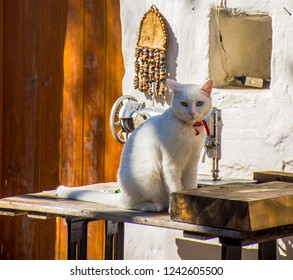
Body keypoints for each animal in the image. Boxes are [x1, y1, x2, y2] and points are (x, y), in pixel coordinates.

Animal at [56, 77, 212, 211]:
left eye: (199, 103)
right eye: (184, 104)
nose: (192, 113)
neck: (190, 130)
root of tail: (122, 194)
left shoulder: (191, 164)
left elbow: (189, 186)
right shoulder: (171, 165)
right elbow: (174, 188)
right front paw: (174, 207)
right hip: (148, 175)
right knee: (128, 205)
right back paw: (153, 206)